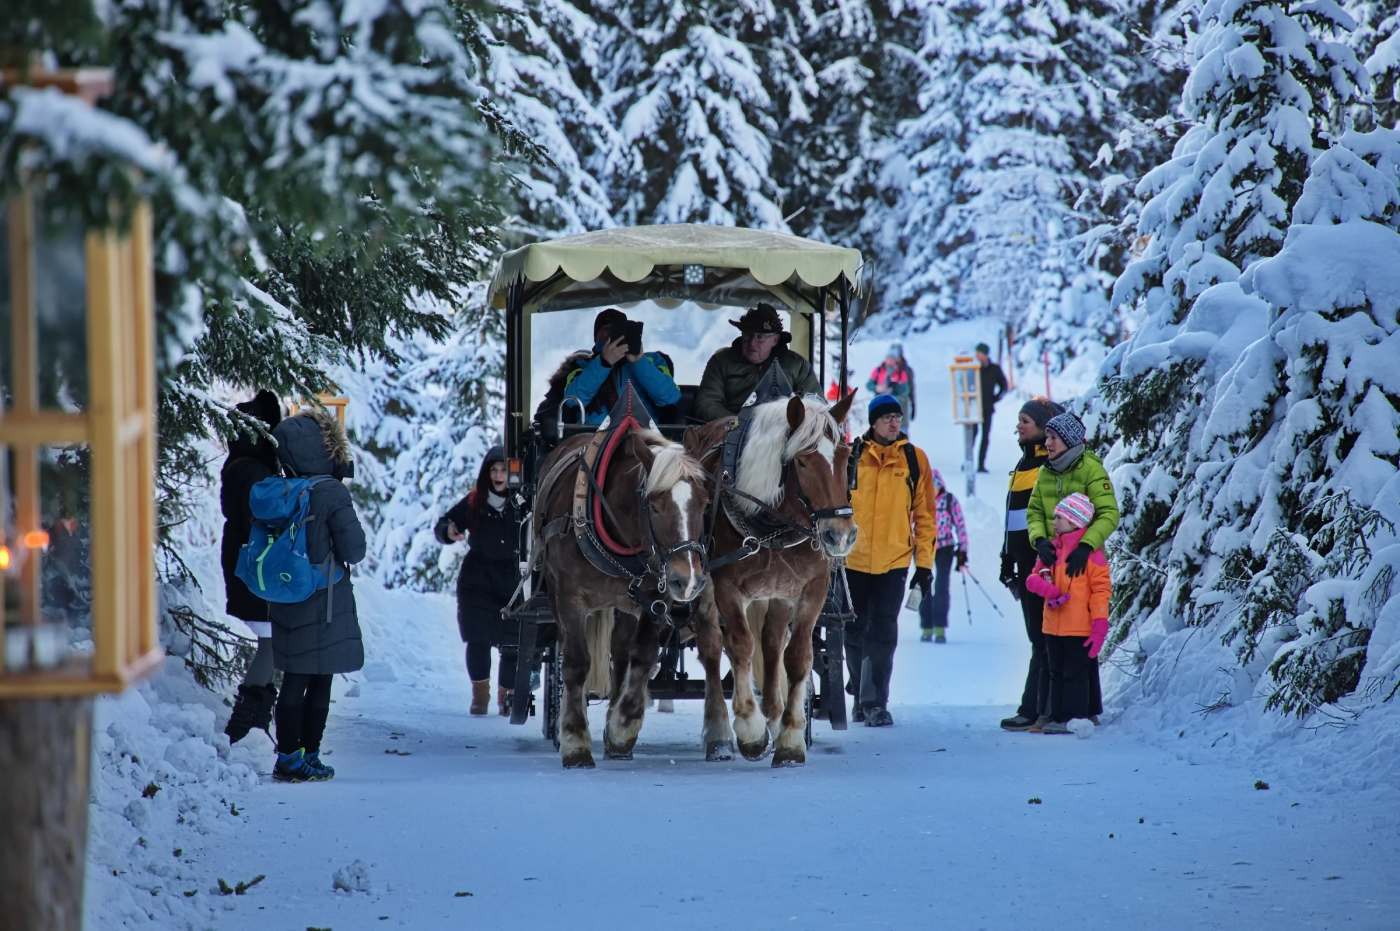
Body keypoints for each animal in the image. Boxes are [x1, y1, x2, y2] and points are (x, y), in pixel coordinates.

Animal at [534, 425, 711, 767]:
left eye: (704, 503)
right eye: (654, 505)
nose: (687, 580)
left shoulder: (655, 598)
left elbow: (641, 657)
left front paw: (622, 727)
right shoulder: (569, 597)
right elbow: (576, 662)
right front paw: (575, 742)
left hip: (626, 606)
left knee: (620, 656)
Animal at [686, 392, 856, 761]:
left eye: (845, 456)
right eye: (803, 462)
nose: (840, 534)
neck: (774, 523)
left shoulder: (809, 589)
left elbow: (796, 656)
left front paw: (790, 736)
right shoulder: (727, 588)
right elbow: (740, 646)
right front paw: (750, 729)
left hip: (776, 593)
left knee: (773, 643)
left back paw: (775, 717)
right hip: (700, 585)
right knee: (712, 648)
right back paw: (719, 734)